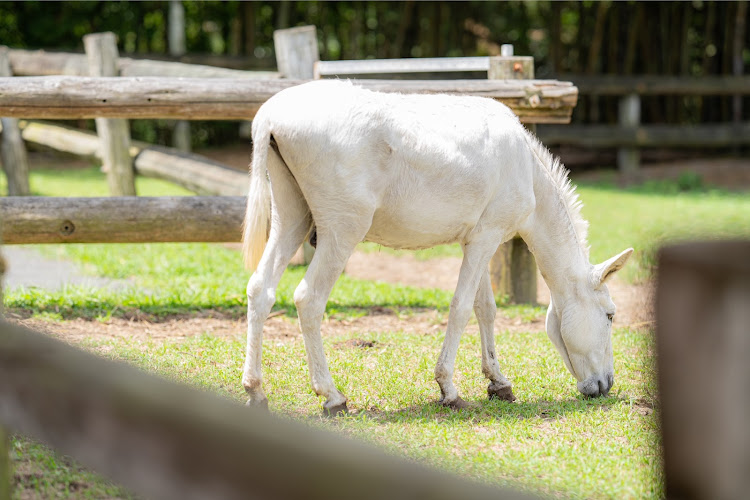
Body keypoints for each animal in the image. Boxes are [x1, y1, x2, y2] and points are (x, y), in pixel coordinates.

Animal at [242, 80, 636, 416]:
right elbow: (461, 308)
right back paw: (332, 396)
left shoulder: (478, 240)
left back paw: (255, 390)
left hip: (292, 219)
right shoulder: (486, 238)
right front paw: (448, 388)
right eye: (610, 315)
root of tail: (271, 116)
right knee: (309, 299)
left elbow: (485, 308)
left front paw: (498, 382)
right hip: (342, 230)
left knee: (260, 290)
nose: (606, 385)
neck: (525, 167)